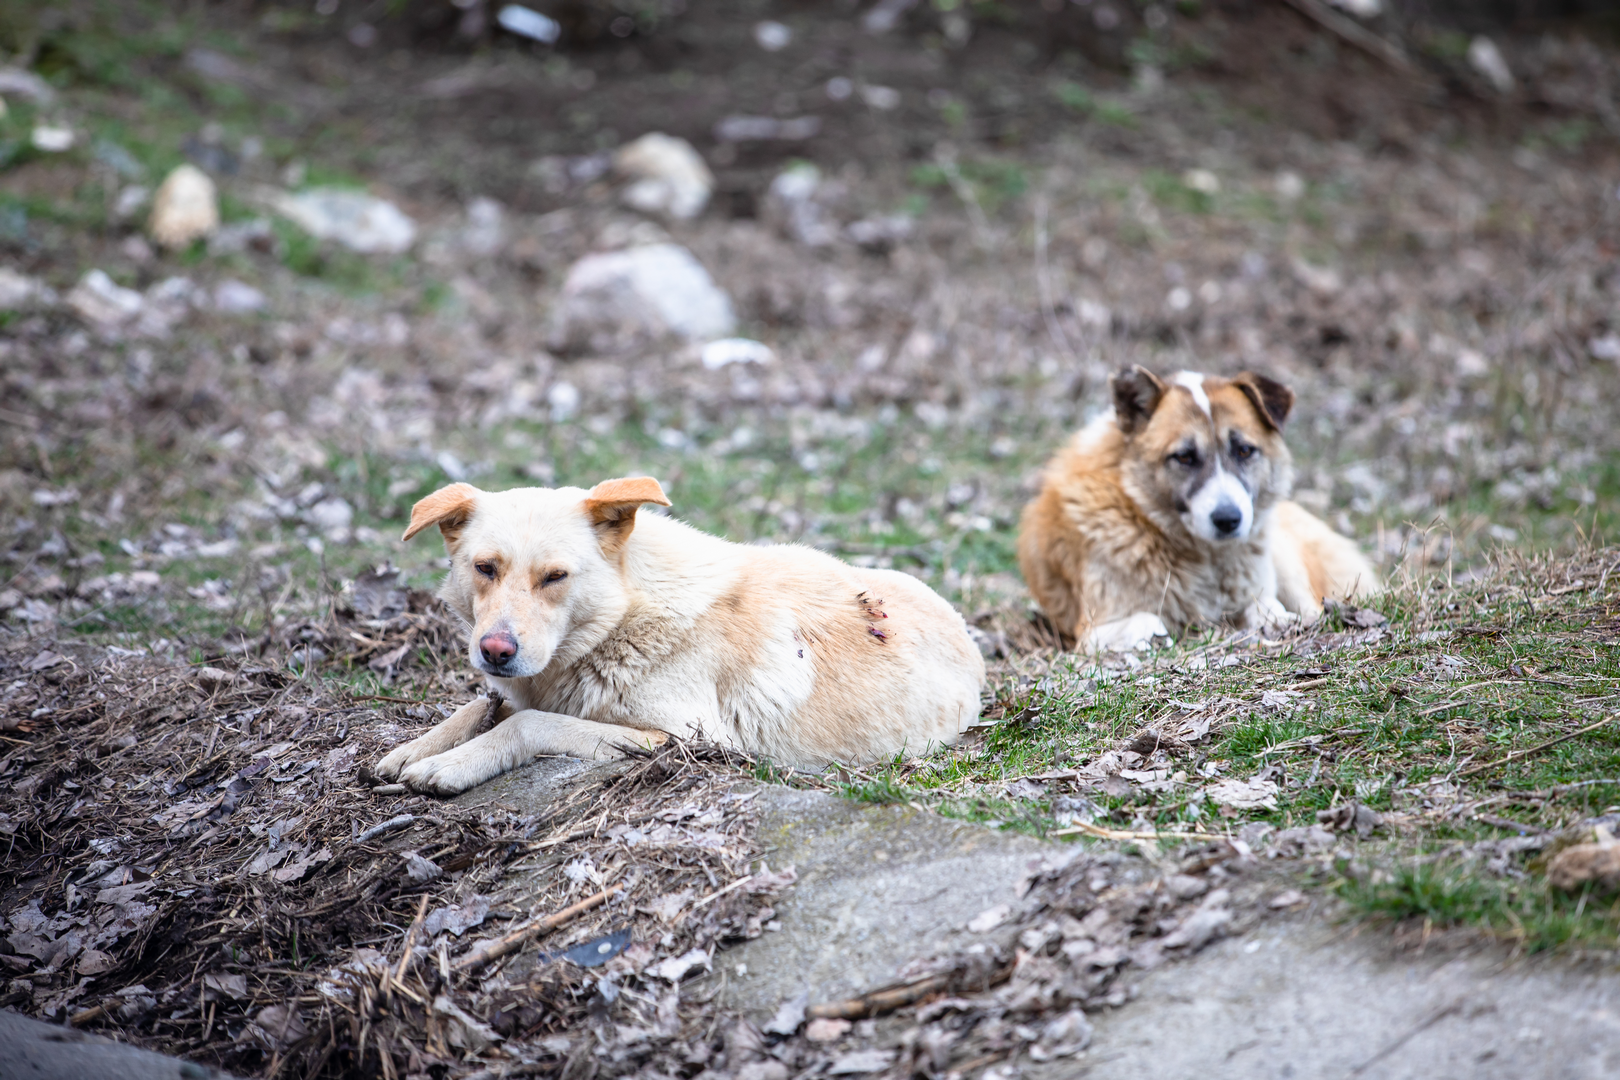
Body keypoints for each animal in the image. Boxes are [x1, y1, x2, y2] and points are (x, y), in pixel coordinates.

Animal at [375, 479, 984, 793]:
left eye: (555, 577)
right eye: (485, 568)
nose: (496, 651)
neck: (623, 616)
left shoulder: (689, 740)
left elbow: (527, 722)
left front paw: (451, 765)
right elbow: (481, 706)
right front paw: (412, 750)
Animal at [1017, 365, 1373, 650]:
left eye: (1244, 450)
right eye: (1184, 457)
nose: (1228, 519)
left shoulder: (1259, 592)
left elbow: (1266, 607)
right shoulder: (1093, 630)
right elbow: (1151, 619)